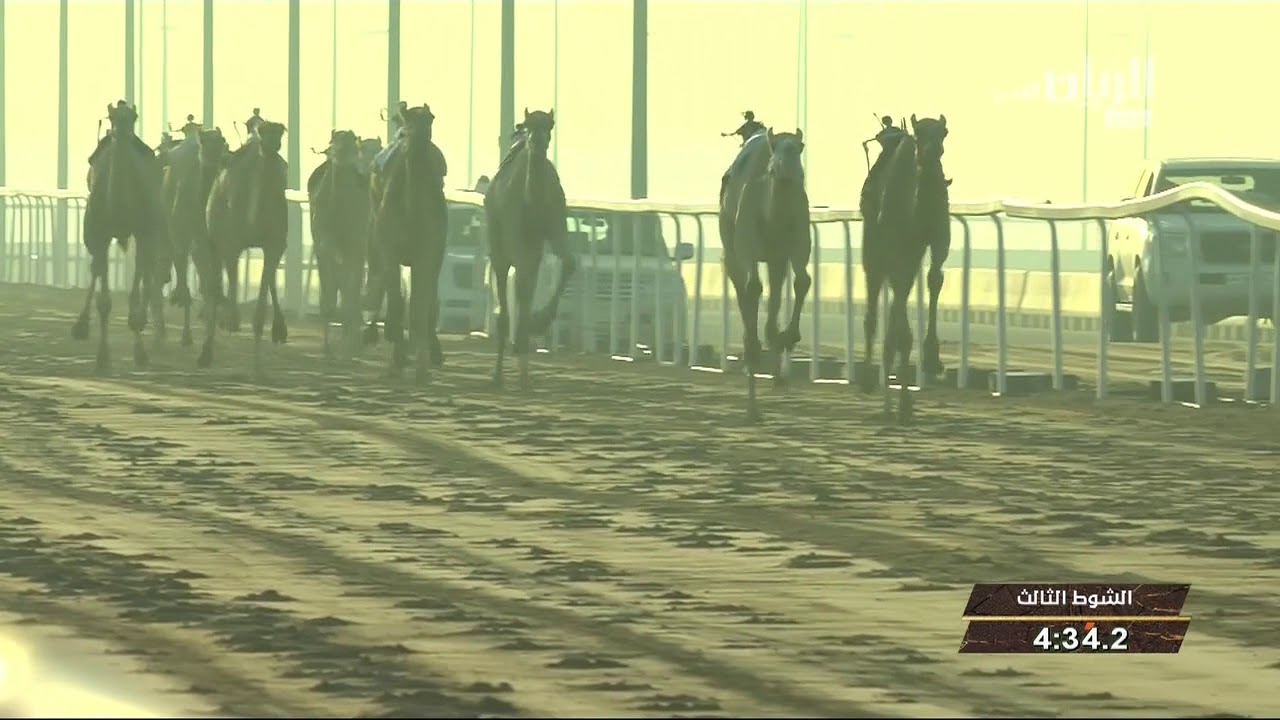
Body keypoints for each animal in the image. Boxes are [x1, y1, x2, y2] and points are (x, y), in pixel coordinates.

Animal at [73, 101, 167, 372]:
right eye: (113, 117)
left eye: (134, 117)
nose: (121, 134)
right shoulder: (99, 235)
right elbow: (104, 300)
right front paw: (102, 357)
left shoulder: (144, 231)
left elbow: (136, 287)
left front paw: (140, 352)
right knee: (96, 269)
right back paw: (80, 326)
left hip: (149, 232)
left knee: (146, 267)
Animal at [483, 108, 577, 390]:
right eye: (528, 124)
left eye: (549, 125)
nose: (536, 142)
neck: (531, 204)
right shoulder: (515, 240)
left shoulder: (554, 228)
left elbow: (570, 262)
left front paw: (539, 321)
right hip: (499, 245)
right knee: (506, 302)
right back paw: (500, 373)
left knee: (525, 289)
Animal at [718, 127, 812, 423]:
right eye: (772, 168)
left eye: (800, 150)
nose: (786, 176)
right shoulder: (747, 242)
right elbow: (752, 287)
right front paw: (754, 349)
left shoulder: (795, 242)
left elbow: (803, 280)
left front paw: (789, 336)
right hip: (732, 246)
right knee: (744, 288)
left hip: (776, 258)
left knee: (773, 296)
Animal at [859, 114, 951, 423]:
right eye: (919, 133)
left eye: (945, 133)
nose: (932, 155)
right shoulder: (897, 249)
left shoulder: (936, 237)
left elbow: (935, 277)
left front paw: (933, 358)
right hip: (875, 251)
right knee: (874, 305)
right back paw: (873, 385)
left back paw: (900, 402)